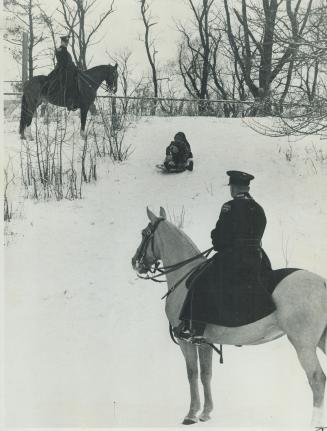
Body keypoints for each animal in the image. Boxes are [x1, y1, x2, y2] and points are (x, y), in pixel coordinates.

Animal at [131, 208, 327, 426]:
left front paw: (191, 414)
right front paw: (206, 413)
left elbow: (192, 374)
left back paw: (315, 424)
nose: (135, 262)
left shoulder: (187, 341)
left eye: (144, 233)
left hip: (304, 344)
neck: (184, 279)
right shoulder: (204, 342)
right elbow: (206, 374)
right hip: (321, 340)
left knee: (317, 379)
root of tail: (322, 282)